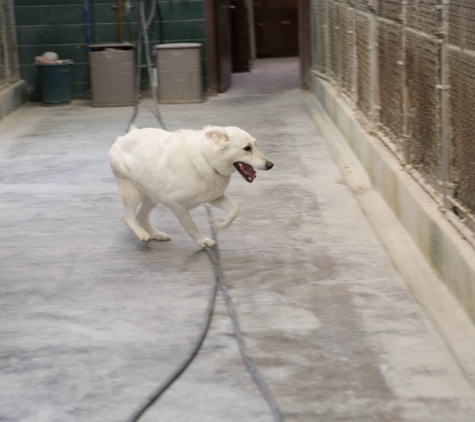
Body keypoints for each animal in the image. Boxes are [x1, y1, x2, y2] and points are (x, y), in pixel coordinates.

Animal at [109, 125, 274, 246]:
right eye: (247, 148)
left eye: (255, 145)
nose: (270, 165)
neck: (207, 159)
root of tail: (122, 137)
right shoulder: (176, 205)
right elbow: (191, 226)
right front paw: (203, 241)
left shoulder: (214, 197)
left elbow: (234, 209)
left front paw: (220, 225)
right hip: (133, 193)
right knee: (128, 217)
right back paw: (142, 234)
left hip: (153, 196)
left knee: (140, 216)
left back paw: (157, 234)